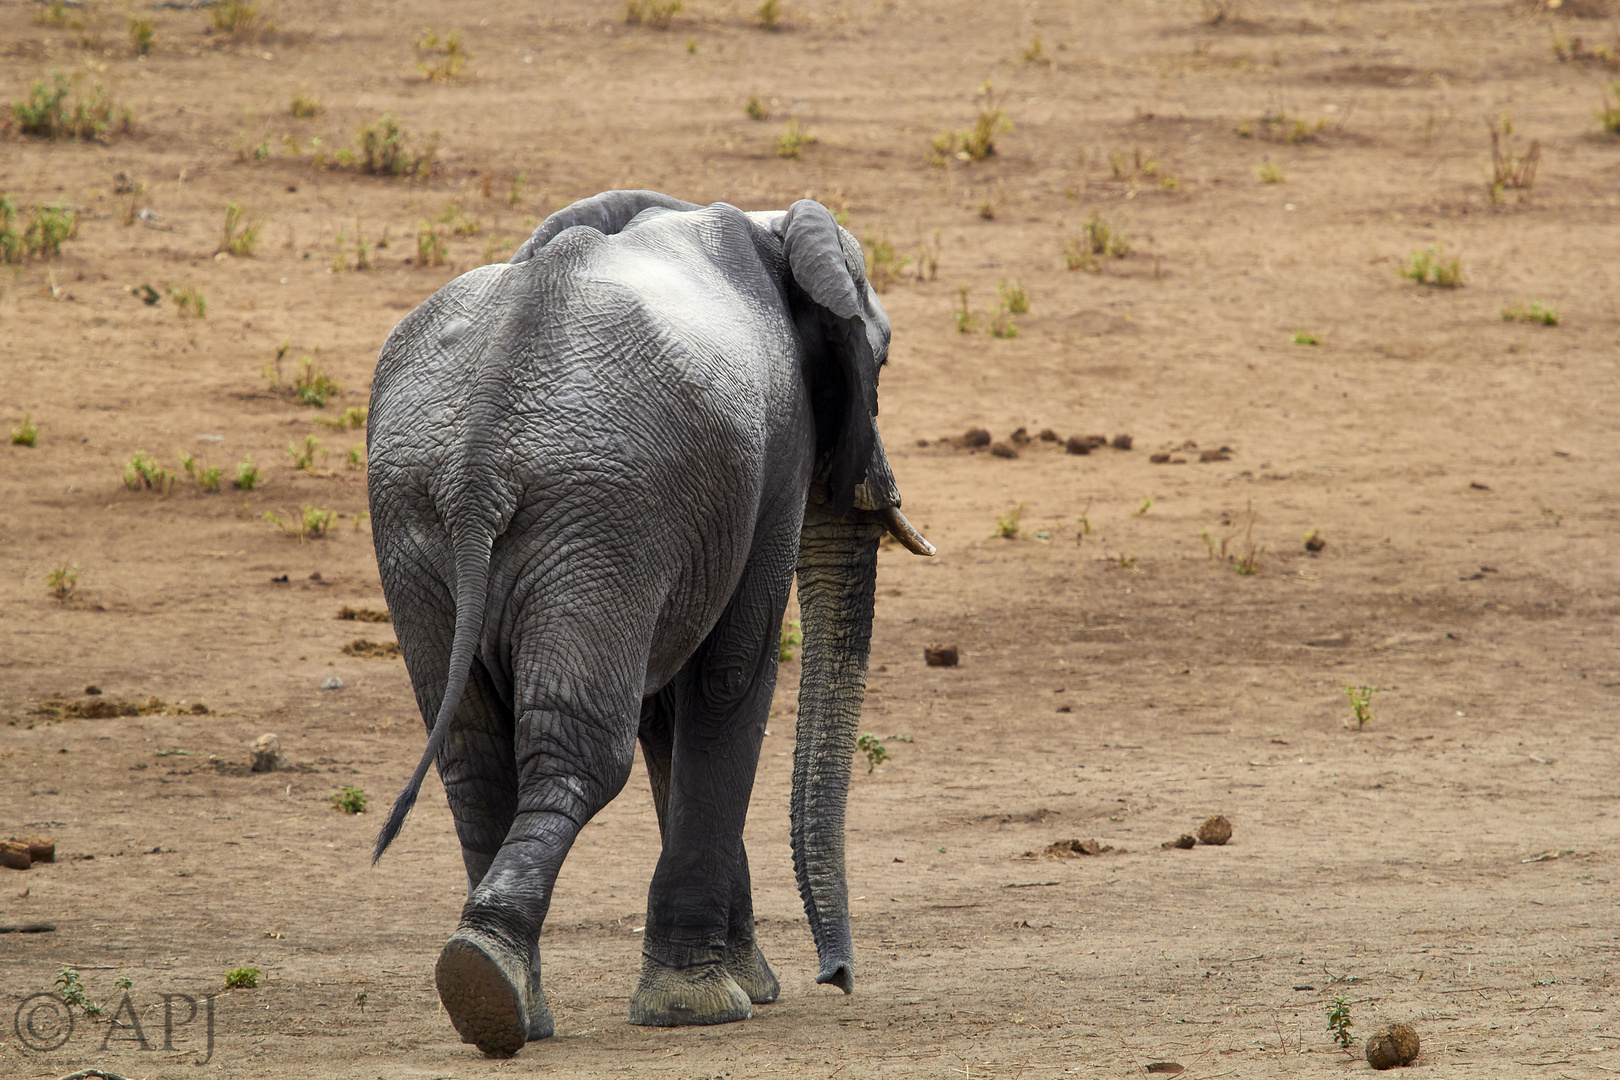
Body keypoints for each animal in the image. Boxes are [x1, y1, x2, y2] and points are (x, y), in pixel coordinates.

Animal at [364, 190, 926, 1062]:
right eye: (883, 361)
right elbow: (731, 676)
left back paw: (496, 995)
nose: (836, 978)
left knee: (474, 756)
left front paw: (745, 985)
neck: (770, 227)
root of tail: (482, 452)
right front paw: (706, 1005)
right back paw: (498, 985)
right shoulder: (773, 456)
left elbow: (670, 715)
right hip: (599, 511)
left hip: (432, 521)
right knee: (581, 754)